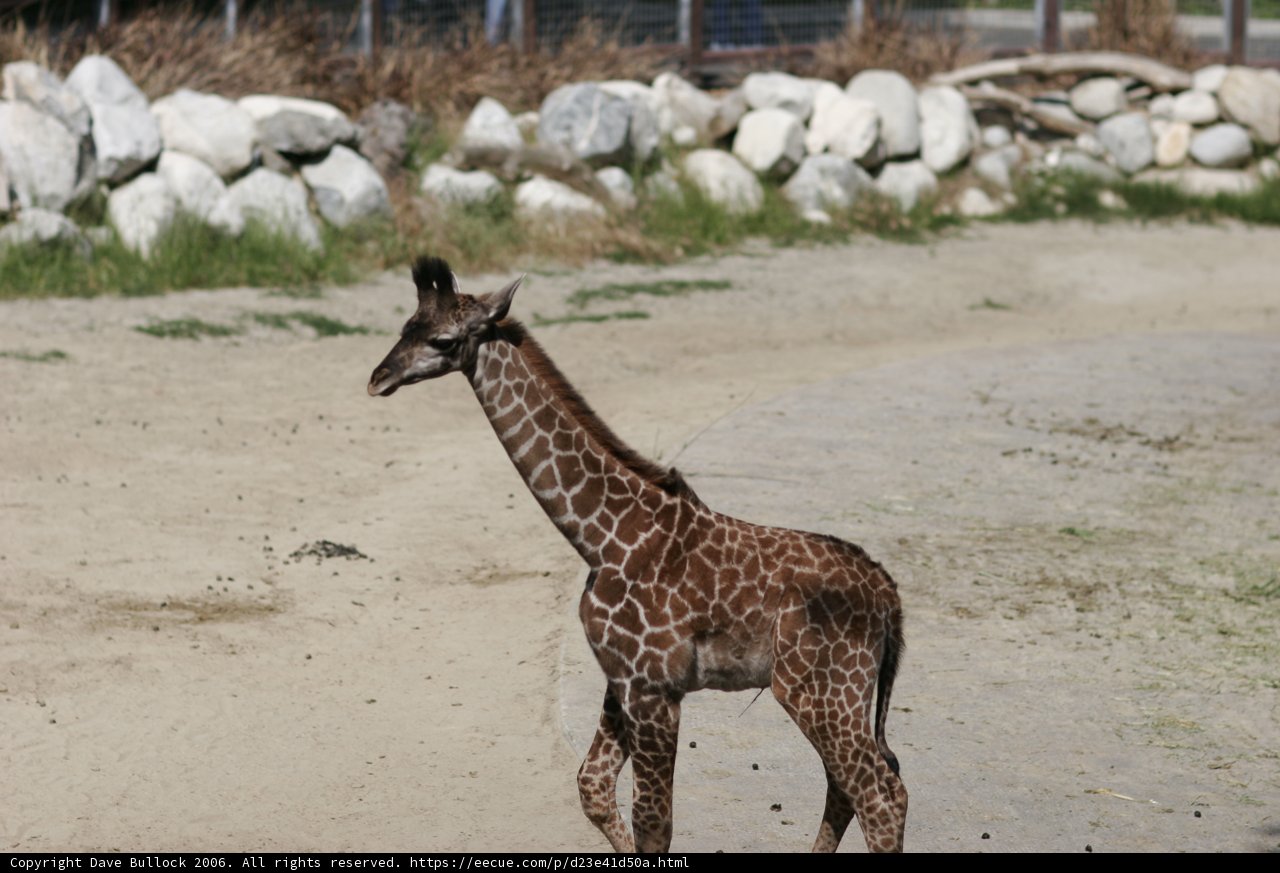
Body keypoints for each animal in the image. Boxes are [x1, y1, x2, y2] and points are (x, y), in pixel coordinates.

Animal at [367, 256, 908, 853]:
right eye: (404, 327)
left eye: (442, 339)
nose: (377, 379)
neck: (601, 537)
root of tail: (890, 599)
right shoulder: (621, 677)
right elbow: (593, 787)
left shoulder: (654, 687)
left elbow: (654, 822)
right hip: (837, 694)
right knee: (854, 785)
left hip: (819, 689)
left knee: (880, 793)